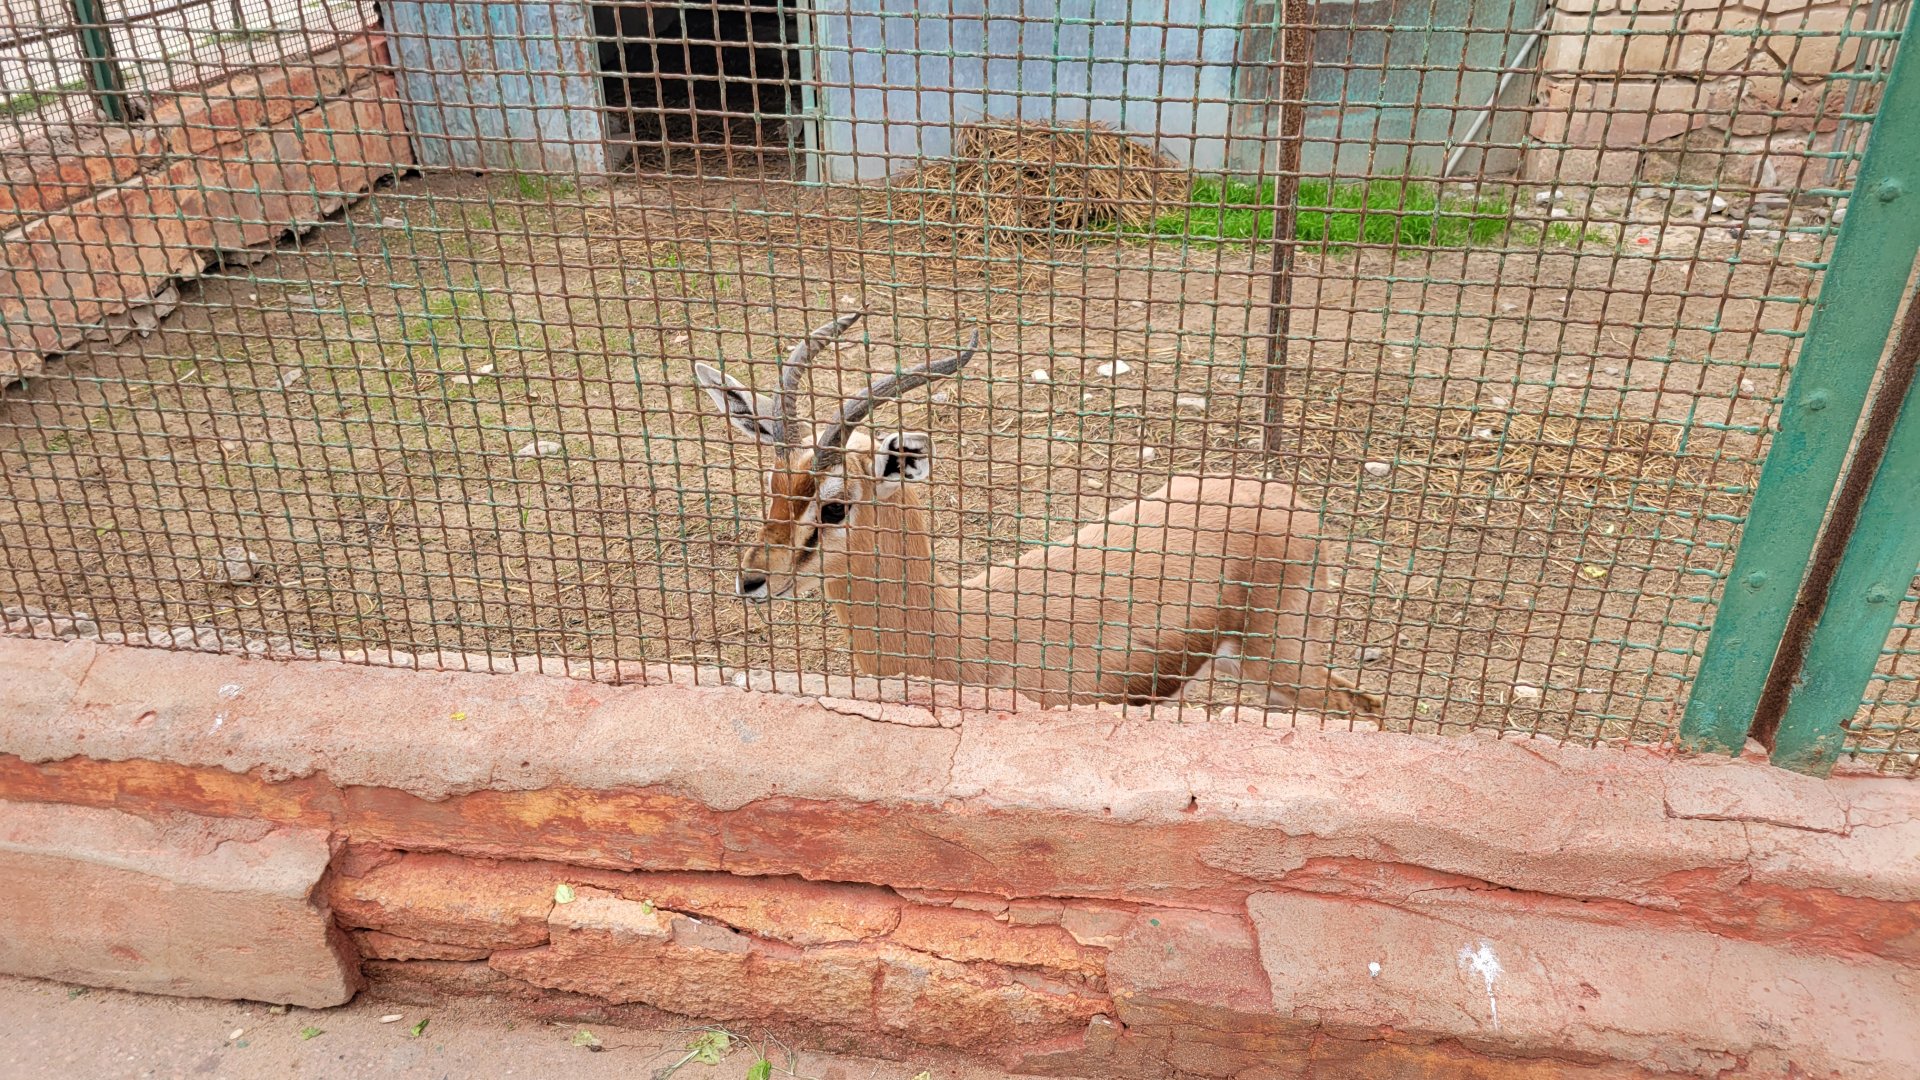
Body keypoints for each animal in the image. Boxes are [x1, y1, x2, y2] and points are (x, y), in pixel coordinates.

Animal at [694, 314, 1381, 717]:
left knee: (1363, 707)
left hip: (1284, 659)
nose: (753, 580)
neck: (956, 630)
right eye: (773, 484)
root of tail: (1286, 498)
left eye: (834, 506)